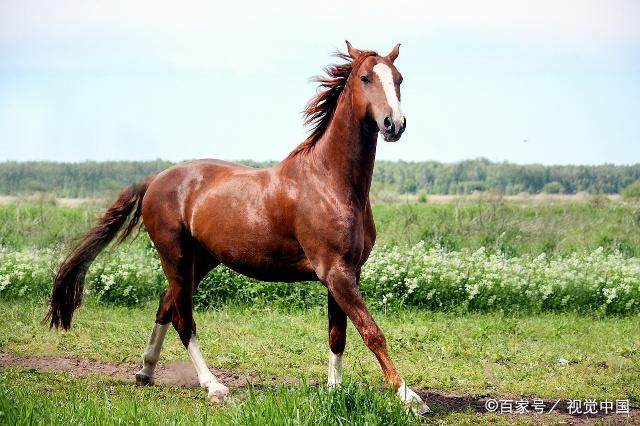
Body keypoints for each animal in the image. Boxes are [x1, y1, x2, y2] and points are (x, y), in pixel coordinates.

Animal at [46, 41, 430, 414]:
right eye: (366, 78)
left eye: (399, 79)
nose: (394, 124)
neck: (330, 181)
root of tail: (156, 180)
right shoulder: (334, 271)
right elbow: (371, 332)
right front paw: (411, 398)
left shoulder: (347, 272)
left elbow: (339, 335)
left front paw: (335, 392)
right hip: (176, 256)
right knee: (184, 319)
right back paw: (214, 388)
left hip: (201, 260)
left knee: (166, 304)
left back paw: (146, 371)